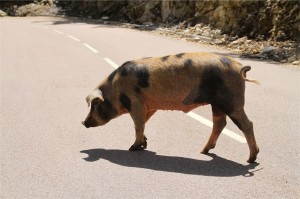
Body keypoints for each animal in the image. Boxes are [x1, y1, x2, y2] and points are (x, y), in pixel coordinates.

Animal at [82, 52, 260, 163]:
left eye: (95, 105)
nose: (83, 122)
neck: (115, 89)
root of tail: (240, 67)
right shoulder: (149, 106)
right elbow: (143, 123)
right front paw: (144, 144)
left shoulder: (135, 102)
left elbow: (138, 125)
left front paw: (132, 148)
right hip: (217, 104)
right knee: (220, 123)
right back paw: (203, 151)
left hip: (231, 101)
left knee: (247, 124)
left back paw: (250, 159)